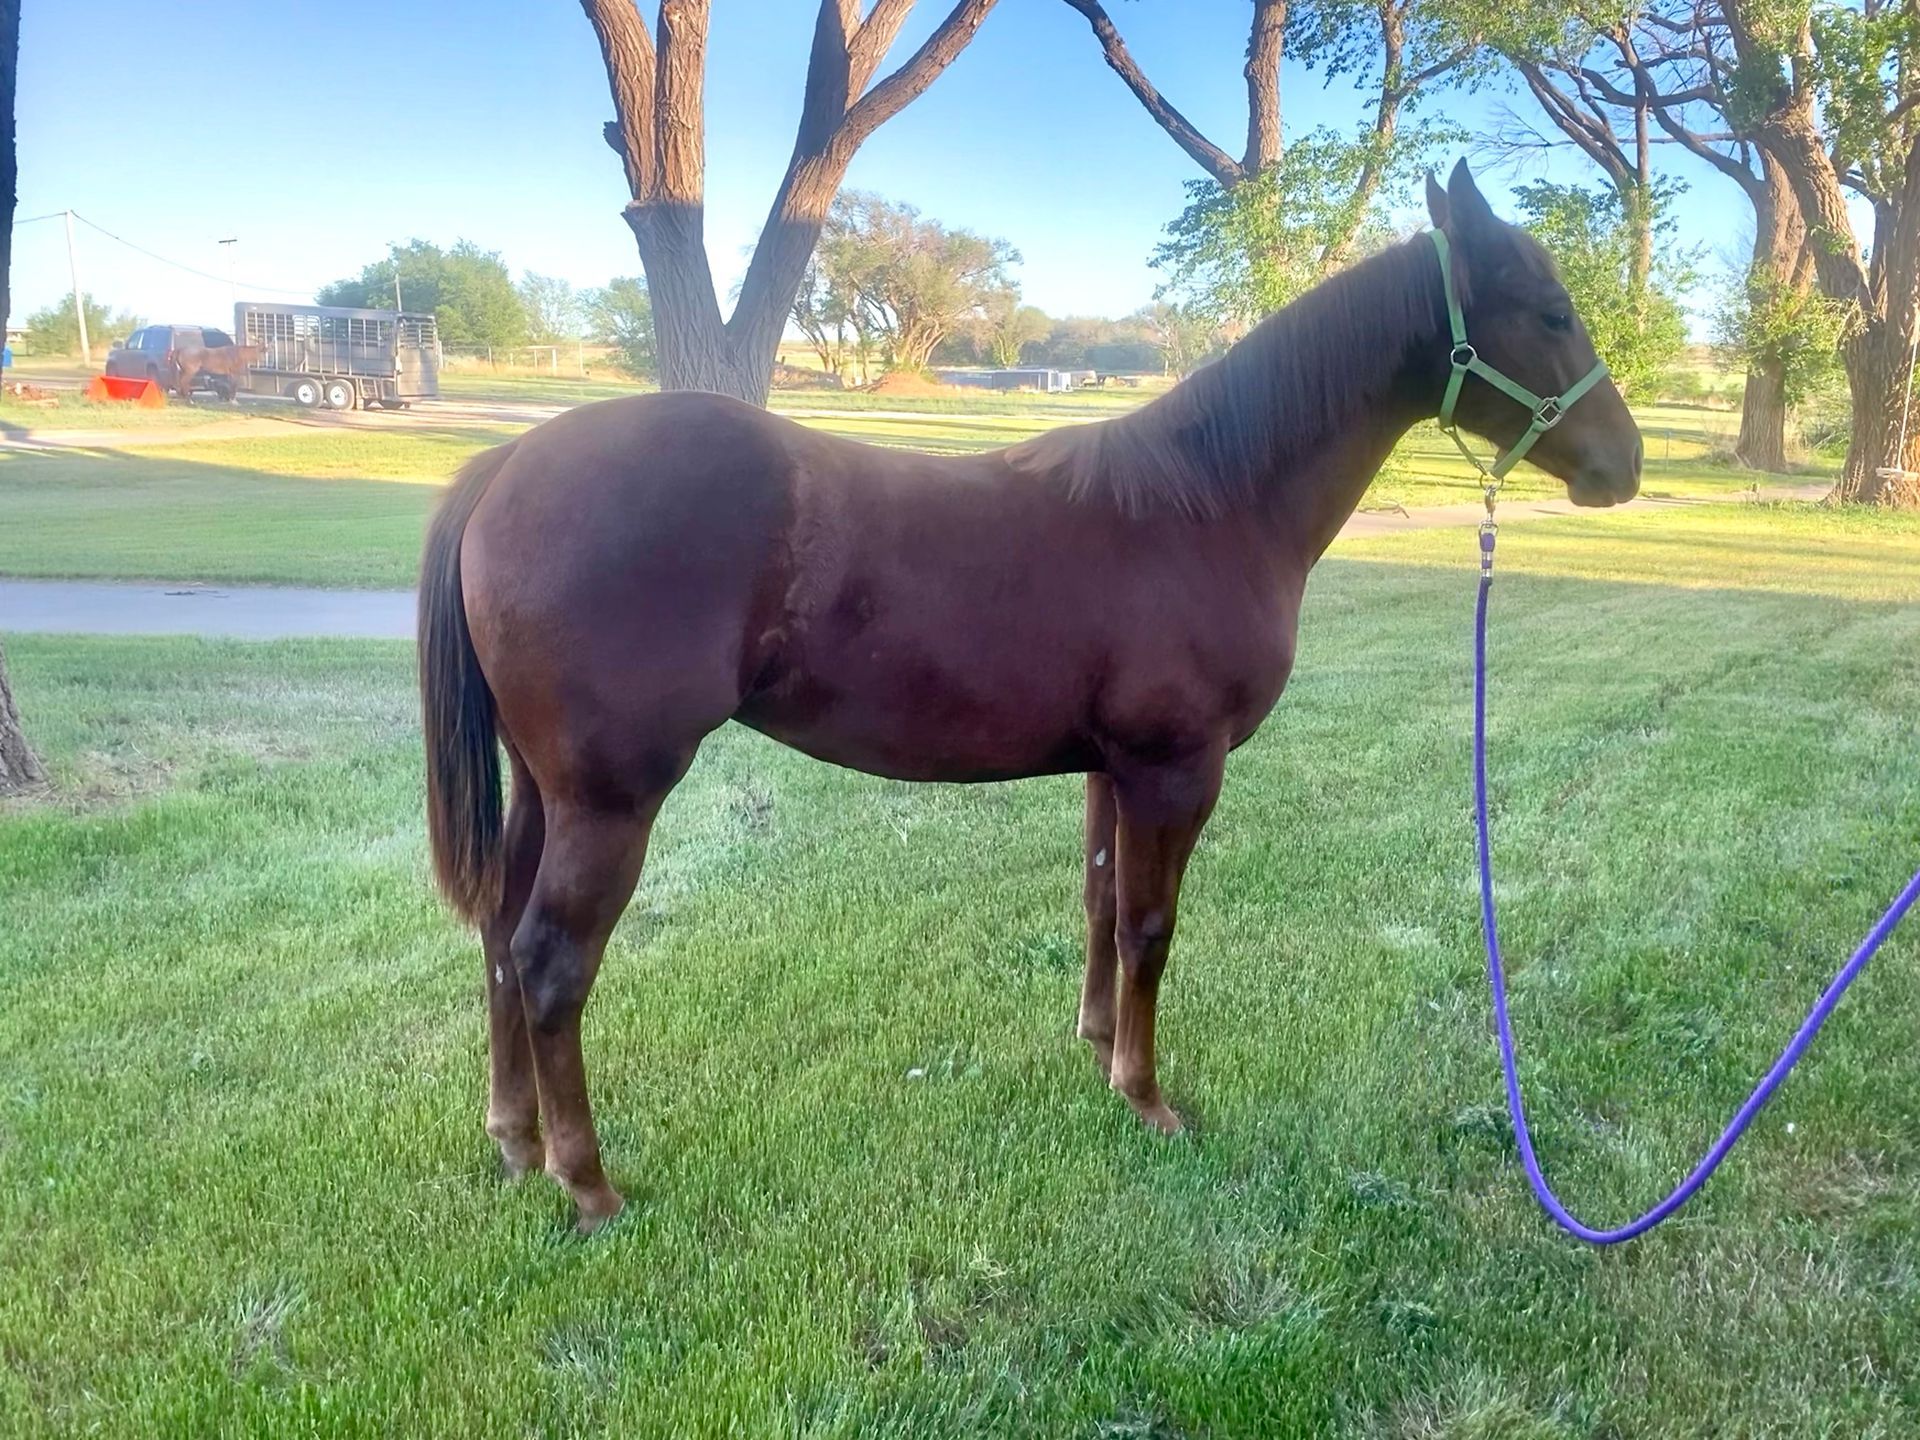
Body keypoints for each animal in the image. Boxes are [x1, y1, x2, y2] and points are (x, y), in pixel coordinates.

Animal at [418, 161, 1643, 1232]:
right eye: (1550, 312)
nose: (1623, 467)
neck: (1208, 502)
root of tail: (508, 465)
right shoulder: (1176, 769)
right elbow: (1151, 924)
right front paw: (1148, 1097)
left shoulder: (1112, 769)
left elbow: (1100, 905)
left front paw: (1099, 1048)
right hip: (611, 800)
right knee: (550, 960)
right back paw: (587, 1184)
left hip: (545, 791)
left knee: (499, 936)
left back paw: (516, 1141)